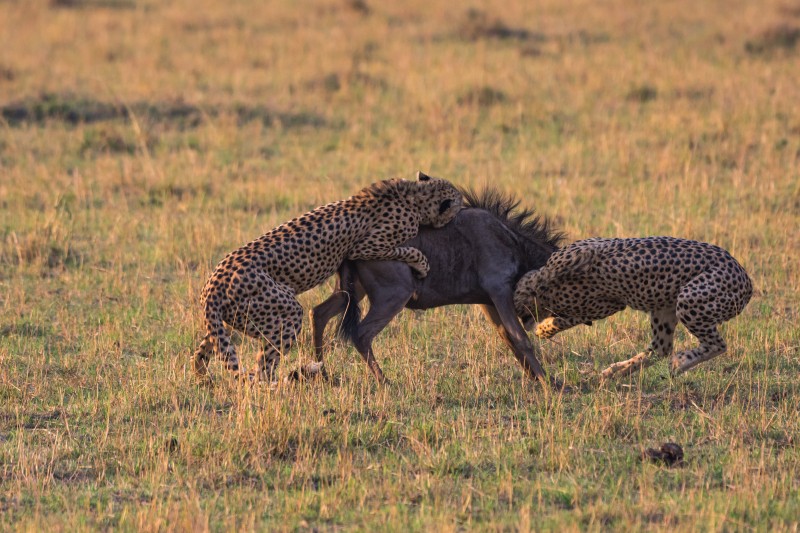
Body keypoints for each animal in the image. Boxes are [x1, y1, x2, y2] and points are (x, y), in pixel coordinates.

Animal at [192, 172, 462, 380]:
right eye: (459, 202)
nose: (465, 207)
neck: (414, 195)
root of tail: (212, 284)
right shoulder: (367, 247)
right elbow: (407, 250)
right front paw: (422, 264)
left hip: (230, 320)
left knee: (206, 349)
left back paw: (204, 379)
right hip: (283, 313)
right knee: (262, 367)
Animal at [308, 189, 564, 384]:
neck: (513, 241)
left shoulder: (488, 301)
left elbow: (507, 336)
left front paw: (537, 378)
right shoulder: (500, 290)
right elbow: (521, 339)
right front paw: (548, 384)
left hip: (352, 292)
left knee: (319, 313)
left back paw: (323, 373)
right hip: (393, 295)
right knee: (361, 334)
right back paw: (384, 381)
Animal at [516, 235, 752, 376]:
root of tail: (747, 282)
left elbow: (536, 280)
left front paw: (540, 325)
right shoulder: (601, 306)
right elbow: (566, 317)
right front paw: (544, 328)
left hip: (689, 298)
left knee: (717, 345)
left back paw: (680, 362)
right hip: (664, 307)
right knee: (661, 348)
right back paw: (618, 370)